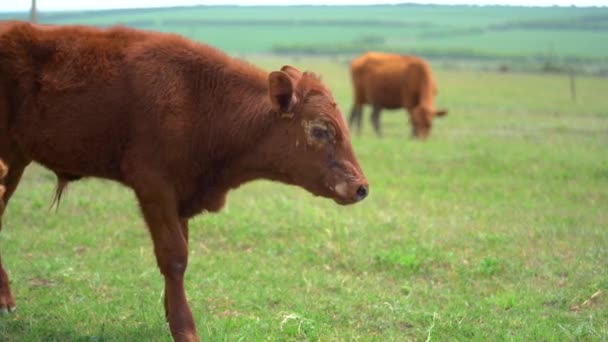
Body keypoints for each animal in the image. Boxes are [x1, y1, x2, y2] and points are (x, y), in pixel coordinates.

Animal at [0, 22, 366, 342]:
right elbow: (174, 256)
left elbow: (181, 253)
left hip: (15, 163)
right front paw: (184, 328)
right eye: (320, 129)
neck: (199, 97)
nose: (361, 187)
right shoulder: (155, 188)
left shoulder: (183, 197)